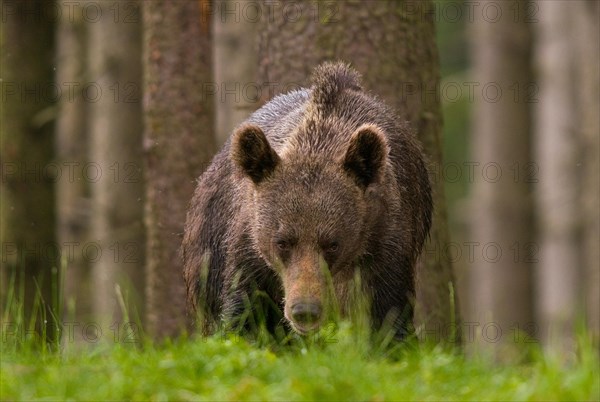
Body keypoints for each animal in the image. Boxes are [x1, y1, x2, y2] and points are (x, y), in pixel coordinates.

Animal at [183, 62, 432, 340]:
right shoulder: (249, 250)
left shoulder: (385, 242)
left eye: (332, 243)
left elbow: (388, 316)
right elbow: (246, 315)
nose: (304, 310)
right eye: (282, 242)